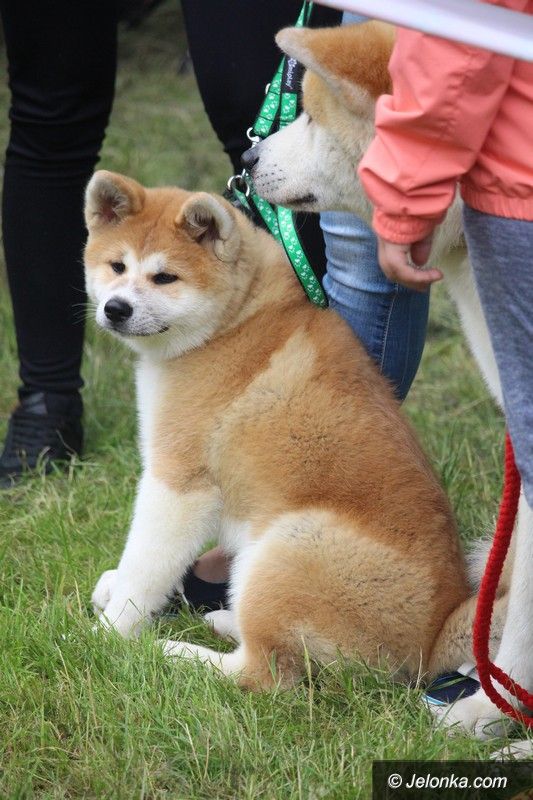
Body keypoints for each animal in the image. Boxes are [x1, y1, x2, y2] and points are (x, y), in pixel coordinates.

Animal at [84, 169, 508, 692]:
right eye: (116, 266)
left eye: (165, 277)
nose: (116, 308)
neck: (236, 318)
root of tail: (433, 639)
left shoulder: (180, 483)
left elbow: (144, 564)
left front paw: (109, 633)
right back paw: (224, 618)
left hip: (289, 544)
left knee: (263, 672)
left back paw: (173, 654)